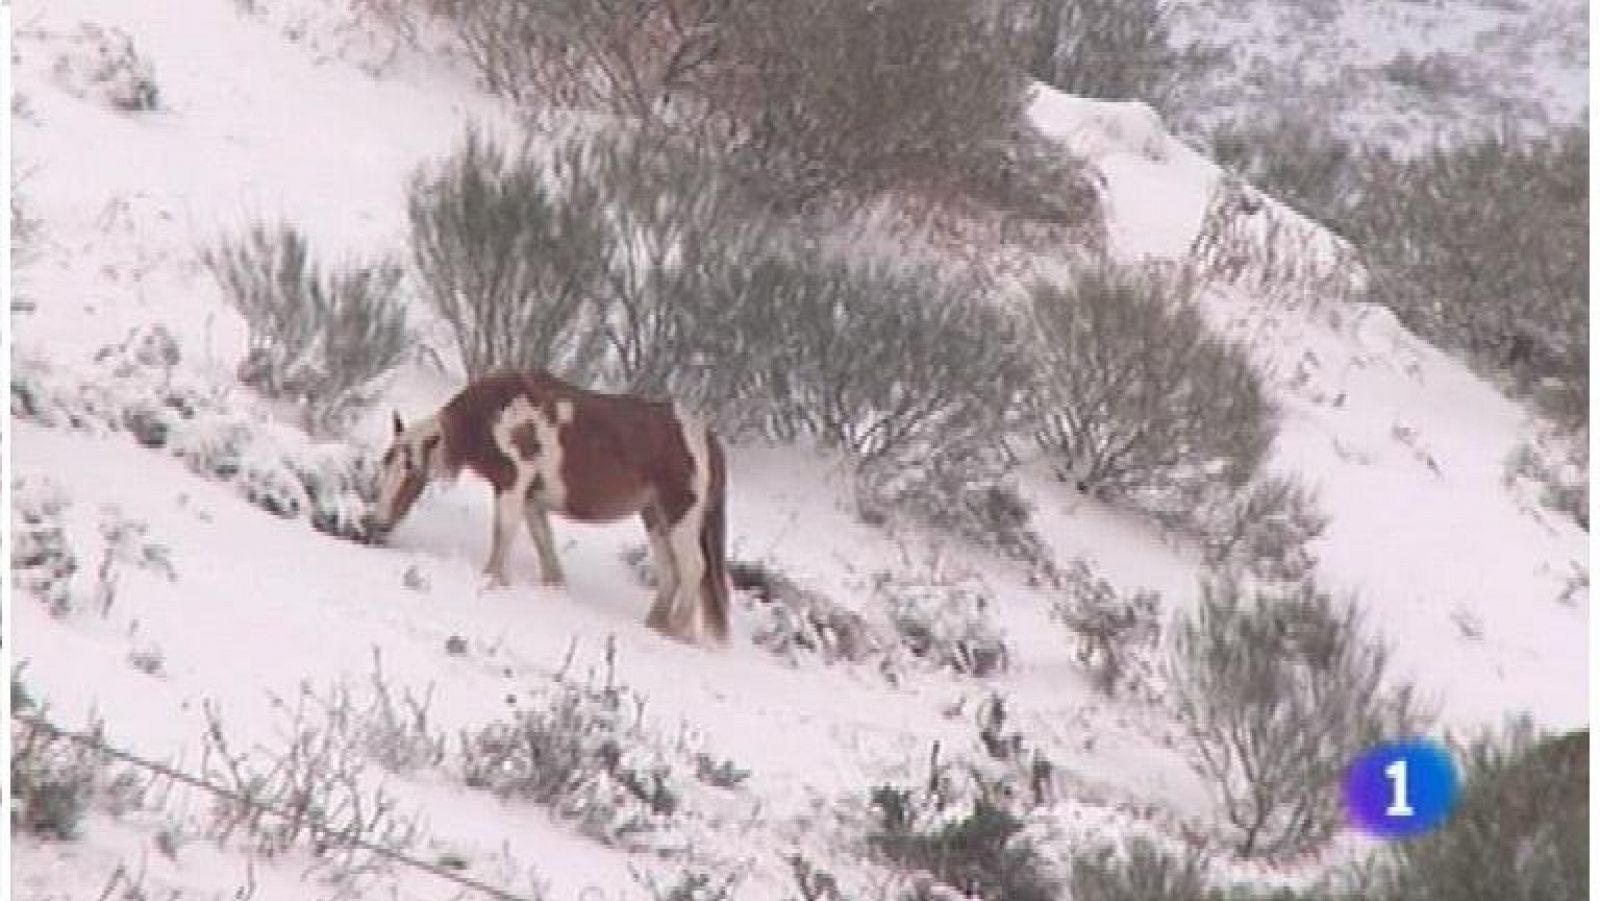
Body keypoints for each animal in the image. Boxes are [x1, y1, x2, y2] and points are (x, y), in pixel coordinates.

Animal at [366, 369, 732, 646]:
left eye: (411, 470)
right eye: (386, 464)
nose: (379, 523)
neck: (498, 416)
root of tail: (704, 435)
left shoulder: (513, 485)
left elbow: (504, 532)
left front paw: (492, 579)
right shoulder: (531, 499)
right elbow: (544, 543)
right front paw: (552, 587)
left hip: (680, 515)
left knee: (692, 568)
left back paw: (676, 631)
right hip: (654, 515)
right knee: (670, 571)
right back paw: (655, 624)